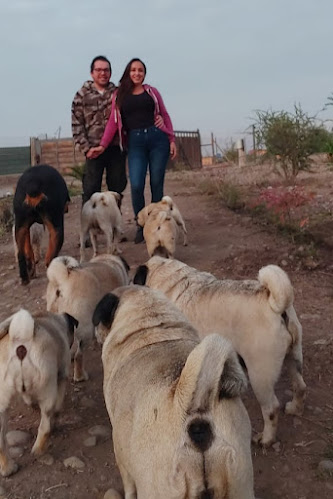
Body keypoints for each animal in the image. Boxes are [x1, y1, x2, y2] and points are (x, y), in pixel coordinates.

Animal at [0, 308, 77, 476]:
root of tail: (21, 342)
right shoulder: (62, 376)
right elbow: (58, 407)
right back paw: (39, 450)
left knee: (1, 441)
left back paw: (8, 468)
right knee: (45, 425)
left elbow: (28, 397)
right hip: (48, 390)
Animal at [133, 258, 306, 450]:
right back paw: (295, 408)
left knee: (271, 409)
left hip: (260, 374)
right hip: (293, 357)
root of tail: (275, 304)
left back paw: (266, 439)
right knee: (300, 385)